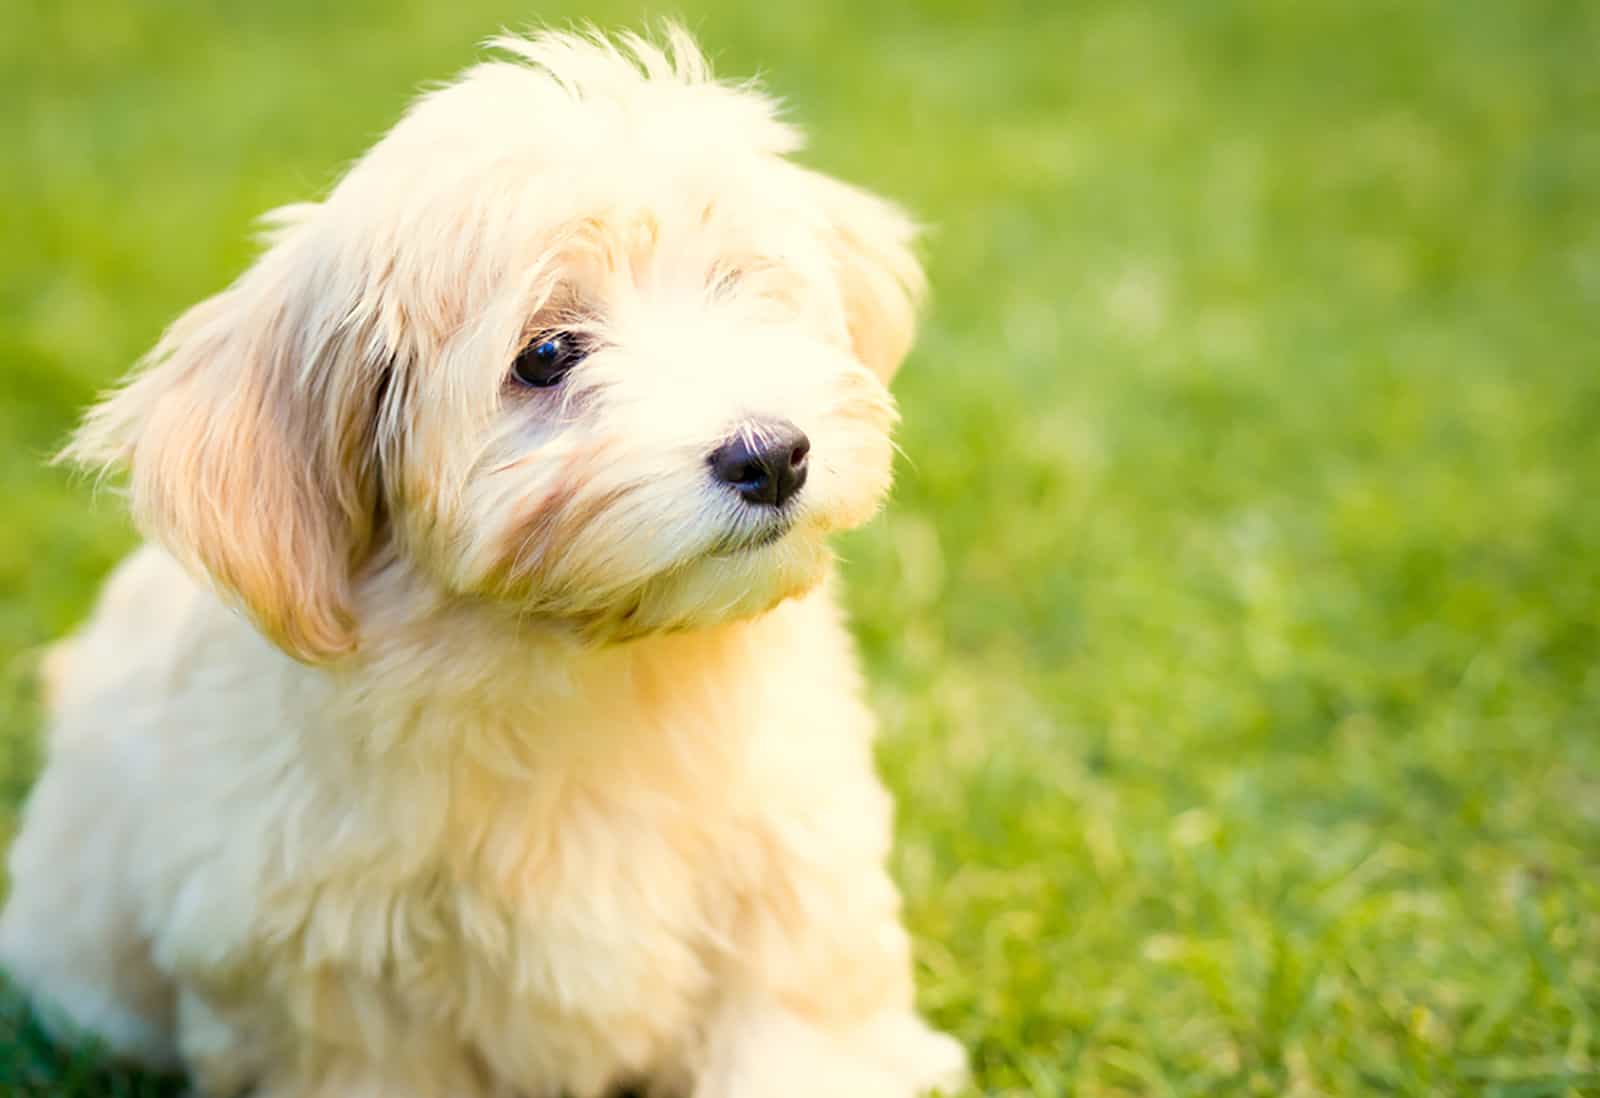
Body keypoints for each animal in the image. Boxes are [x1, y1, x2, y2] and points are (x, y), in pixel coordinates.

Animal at [0, 23, 960, 1098]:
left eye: (740, 290)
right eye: (545, 356)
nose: (772, 455)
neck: (591, 656)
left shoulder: (791, 859)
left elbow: (795, 1020)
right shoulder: (333, 965)